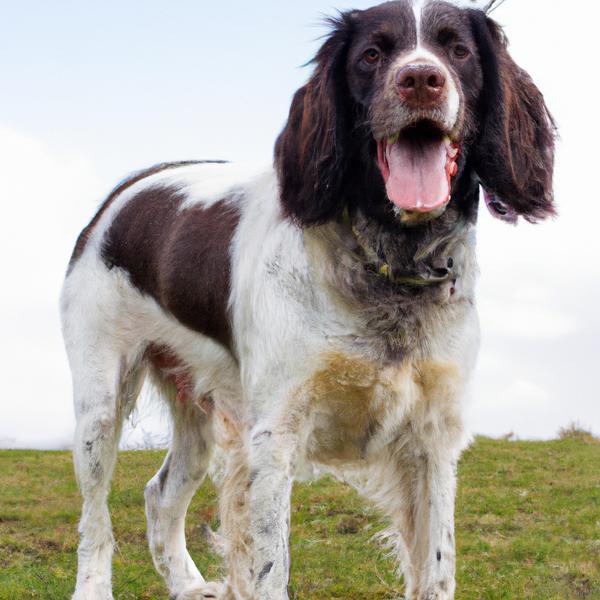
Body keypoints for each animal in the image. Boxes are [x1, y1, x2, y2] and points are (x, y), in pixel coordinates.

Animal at [59, 2, 552, 596]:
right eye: (371, 54)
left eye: (458, 50)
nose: (420, 80)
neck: (390, 263)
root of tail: (123, 192)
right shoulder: (274, 434)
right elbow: (271, 567)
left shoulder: (434, 436)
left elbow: (437, 567)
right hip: (100, 402)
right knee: (95, 516)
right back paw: (93, 585)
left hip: (195, 408)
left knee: (161, 493)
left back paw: (188, 583)